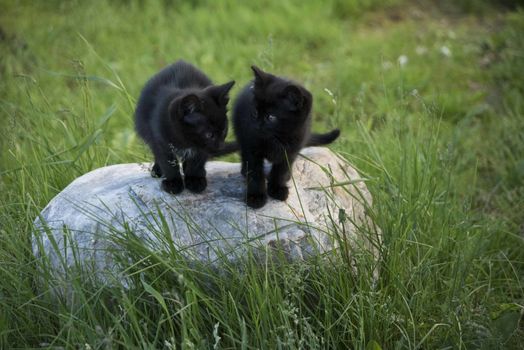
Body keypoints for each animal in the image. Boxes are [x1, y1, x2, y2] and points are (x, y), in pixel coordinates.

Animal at [135, 59, 235, 194]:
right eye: (209, 134)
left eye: (224, 130)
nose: (220, 147)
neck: (186, 141)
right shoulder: (160, 140)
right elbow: (167, 162)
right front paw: (173, 183)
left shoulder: (201, 148)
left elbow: (197, 161)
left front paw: (194, 180)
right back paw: (157, 170)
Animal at [232, 65, 340, 208]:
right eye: (255, 113)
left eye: (271, 117)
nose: (256, 126)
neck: (277, 139)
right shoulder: (251, 146)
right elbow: (255, 172)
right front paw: (256, 196)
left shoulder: (291, 150)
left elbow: (281, 170)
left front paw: (277, 189)